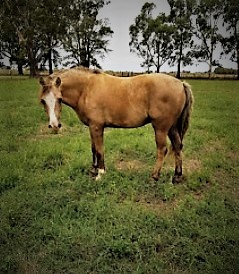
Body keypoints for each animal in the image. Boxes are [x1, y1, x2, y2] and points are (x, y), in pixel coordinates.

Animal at [38, 66, 192, 183]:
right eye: (42, 101)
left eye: (59, 98)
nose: (54, 125)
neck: (86, 89)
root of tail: (181, 84)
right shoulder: (91, 127)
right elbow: (93, 149)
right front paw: (93, 169)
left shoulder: (97, 127)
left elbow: (99, 150)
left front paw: (100, 173)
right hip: (172, 127)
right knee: (177, 146)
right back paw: (177, 176)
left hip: (161, 128)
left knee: (162, 150)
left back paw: (154, 177)